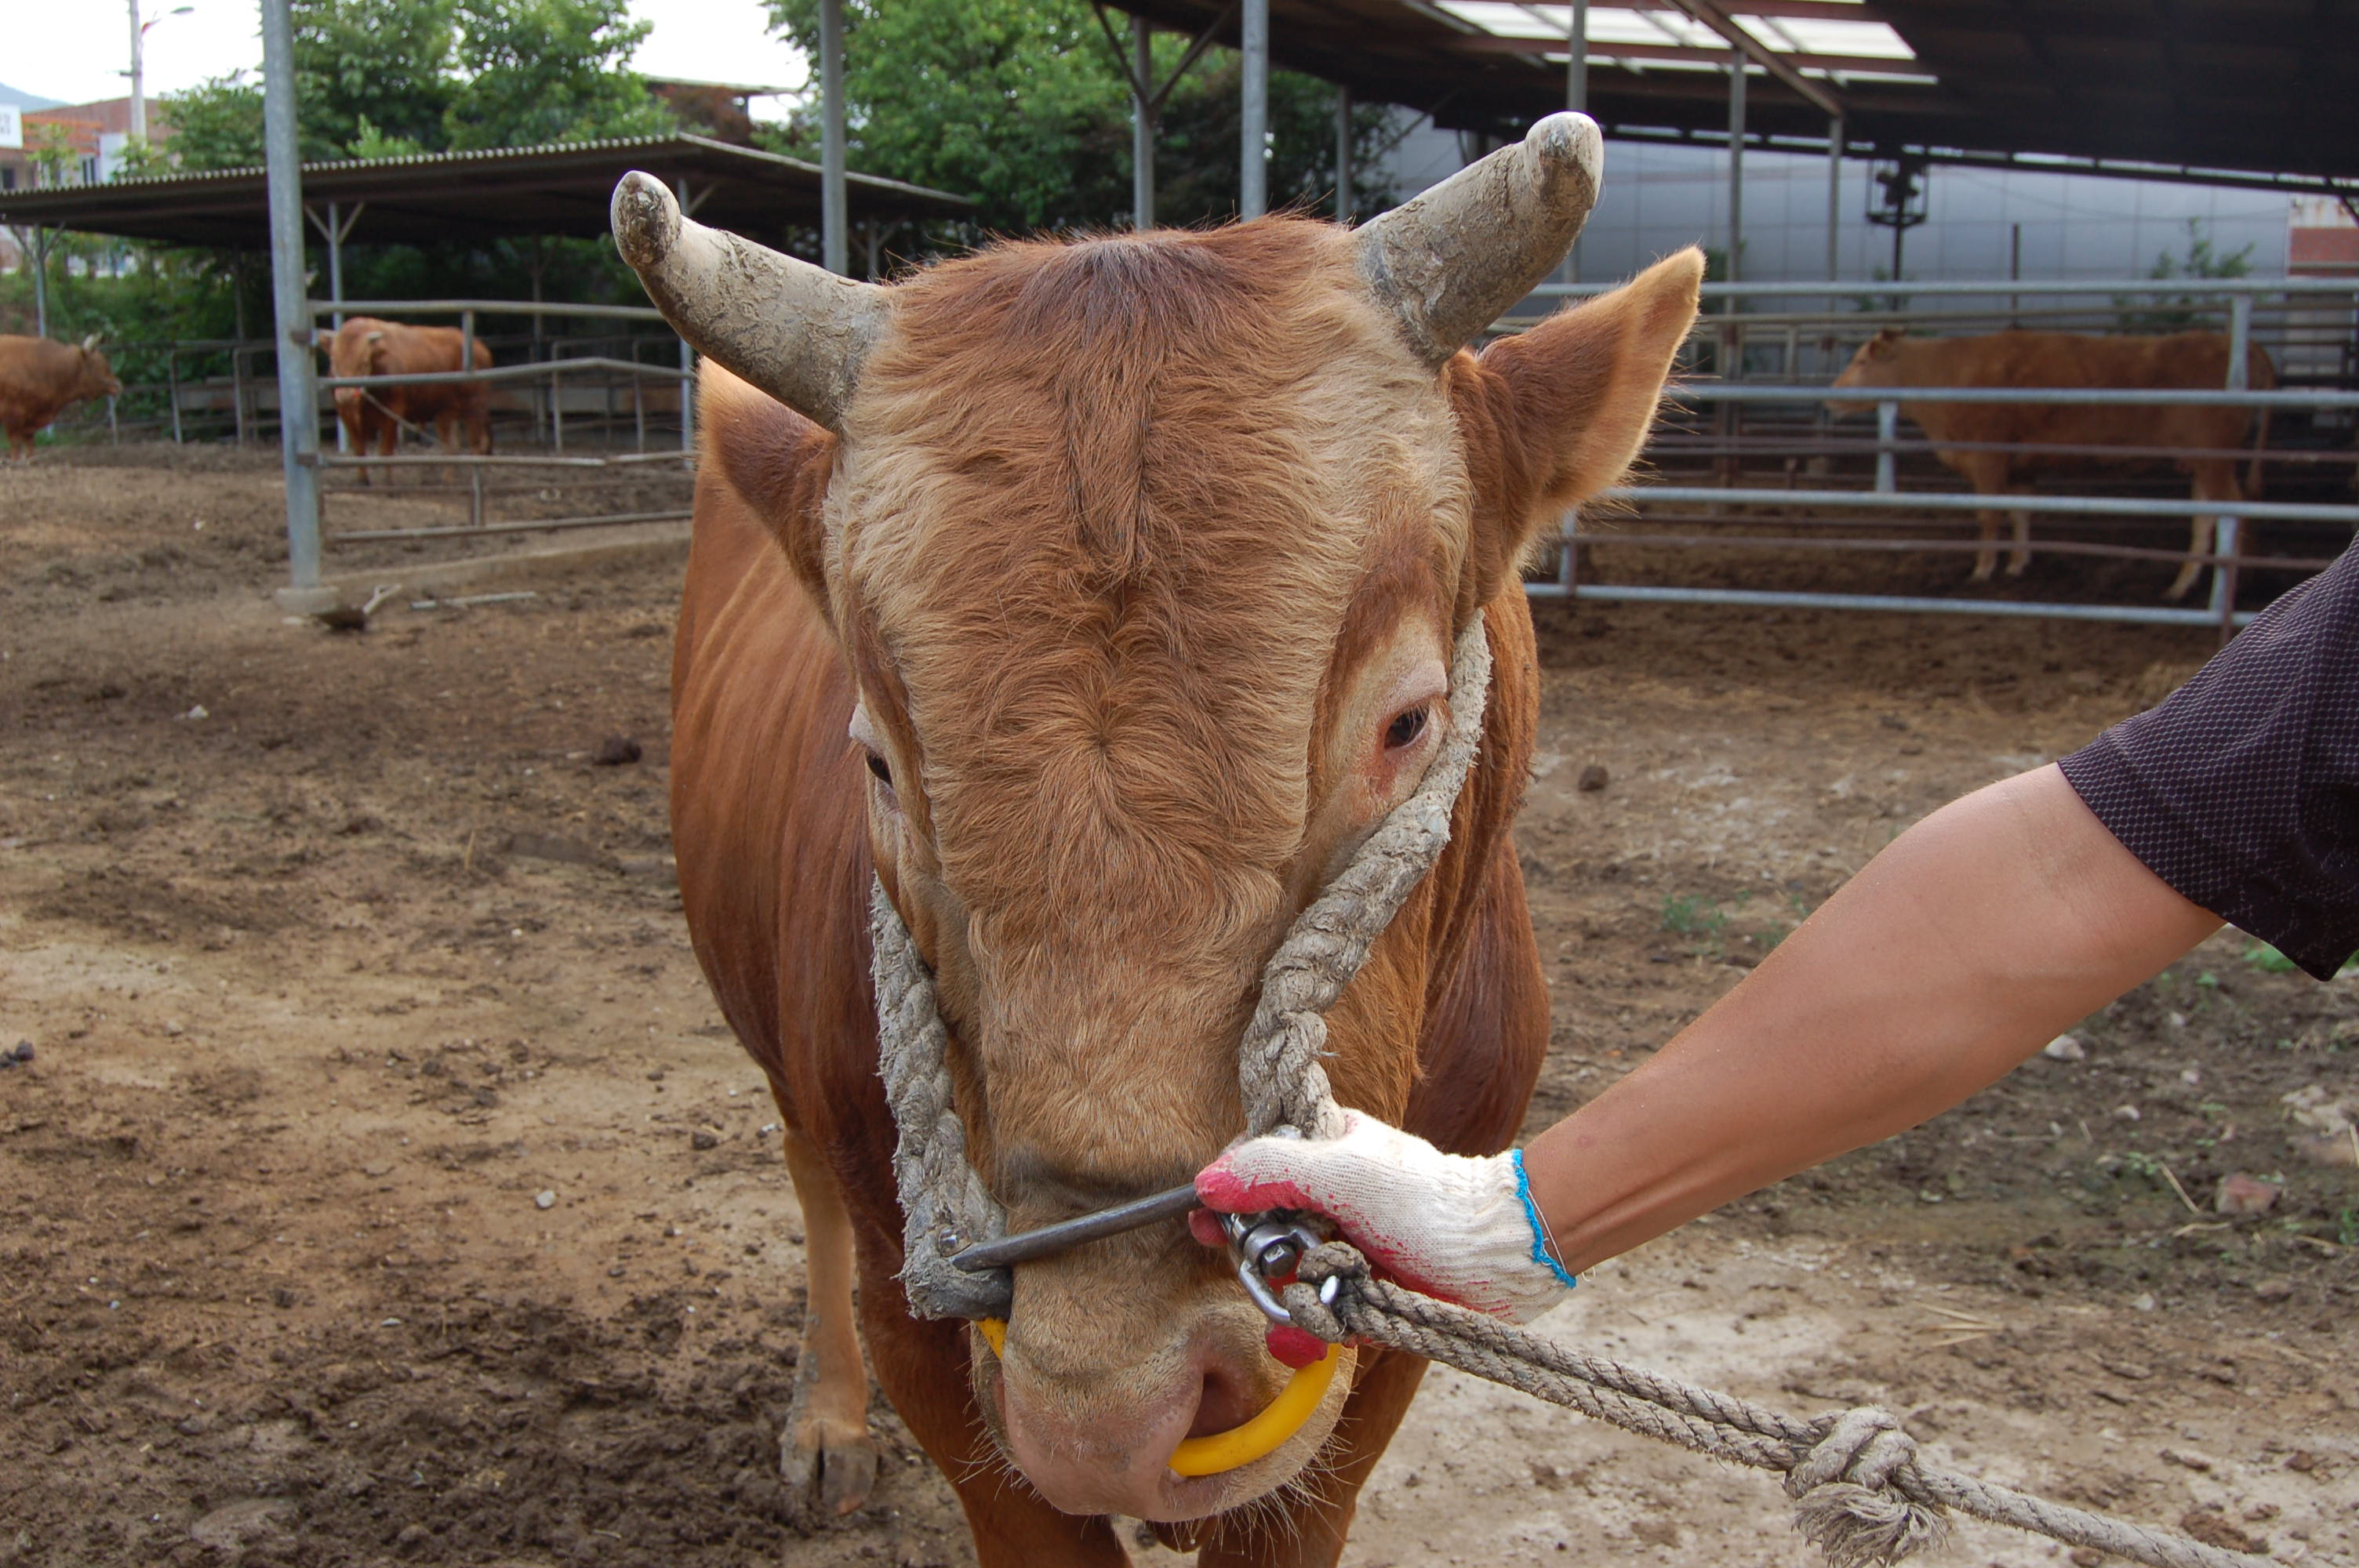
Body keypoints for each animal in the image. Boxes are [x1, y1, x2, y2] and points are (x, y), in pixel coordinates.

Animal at [0, 332, 120, 462]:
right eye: (101, 364)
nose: (118, 384)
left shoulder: (29, 417)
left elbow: (29, 443)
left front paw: (30, 459)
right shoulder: (12, 414)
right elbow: (15, 443)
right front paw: (16, 461)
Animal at [314, 316, 493, 483]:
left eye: (364, 362)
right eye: (333, 361)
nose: (345, 395)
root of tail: (480, 348)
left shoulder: (392, 412)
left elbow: (385, 450)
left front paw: (388, 482)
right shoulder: (346, 414)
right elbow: (359, 449)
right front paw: (363, 481)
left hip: (475, 408)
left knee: (477, 445)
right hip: (446, 413)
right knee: (452, 446)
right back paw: (448, 479)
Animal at [618, 116, 1707, 1555]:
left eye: (1407, 722)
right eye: (880, 763)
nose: (1119, 1401)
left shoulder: (1378, 1375)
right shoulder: (936, 1345)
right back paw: (826, 1421)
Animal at [1830, 328, 2274, 596]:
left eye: (1862, 362)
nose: (1830, 397)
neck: (1944, 374)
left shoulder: (1987, 460)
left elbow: (1990, 516)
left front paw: (1983, 570)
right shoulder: (2020, 467)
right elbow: (2020, 513)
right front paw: (2017, 565)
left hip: (2213, 459)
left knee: (2235, 509)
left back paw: (2237, 583)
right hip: (2201, 463)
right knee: (2207, 517)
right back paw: (2183, 586)